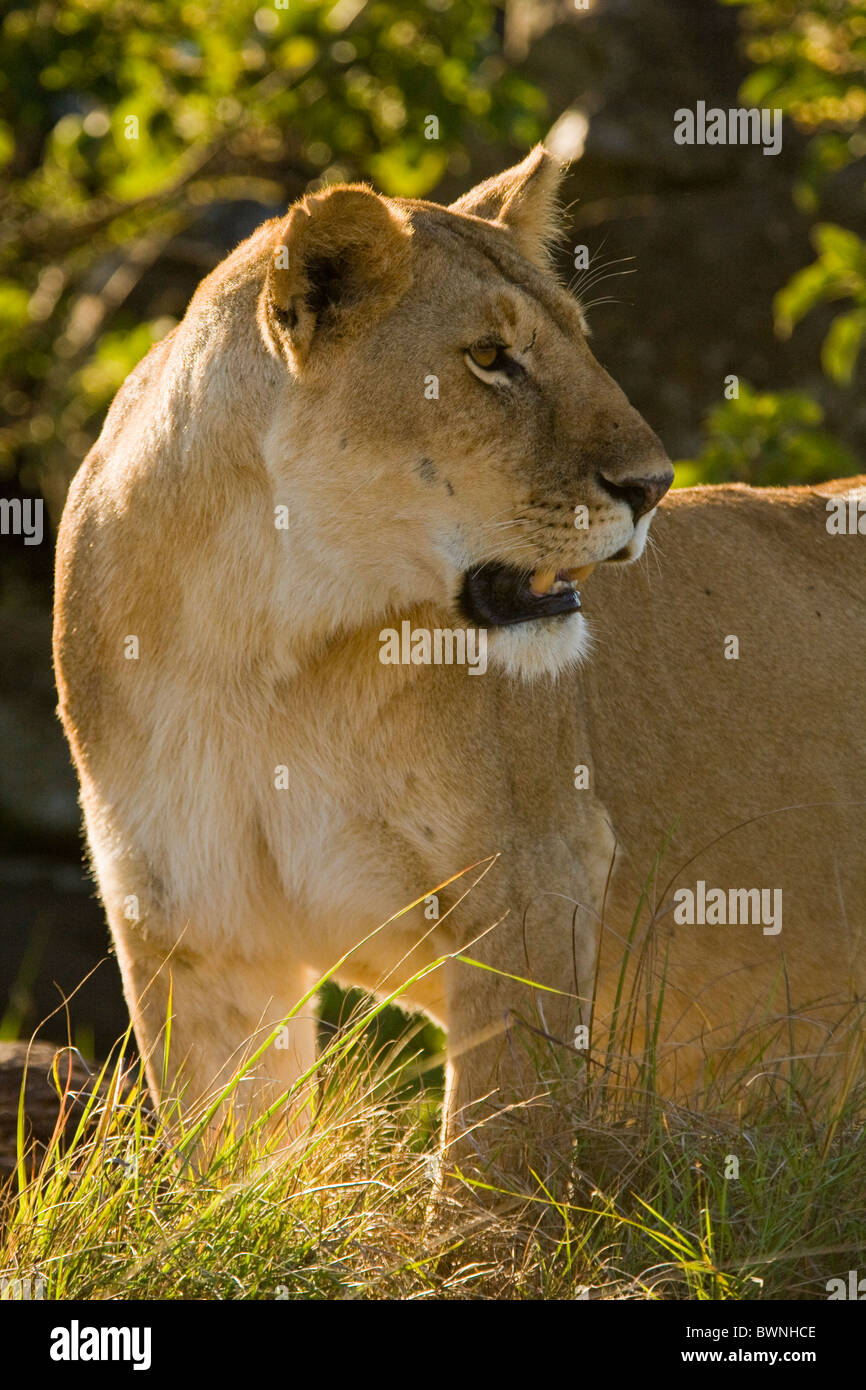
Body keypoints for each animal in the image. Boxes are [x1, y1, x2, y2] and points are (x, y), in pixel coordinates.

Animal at [53, 147, 866, 1177]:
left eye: (579, 341)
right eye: (489, 358)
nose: (653, 486)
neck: (259, 641)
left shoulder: (537, 870)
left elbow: (494, 1153)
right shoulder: (192, 923)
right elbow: (230, 1157)